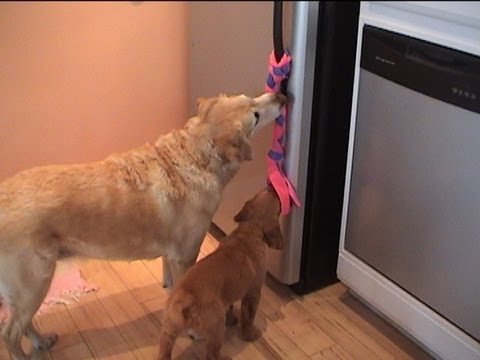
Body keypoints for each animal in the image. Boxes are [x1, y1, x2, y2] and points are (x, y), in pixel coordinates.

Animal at [158, 186, 284, 360]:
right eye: (277, 201)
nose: (273, 187)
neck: (248, 231)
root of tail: (185, 297)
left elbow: (230, 307)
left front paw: (232, 320)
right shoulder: (253, 294)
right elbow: (248, 318)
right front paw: (249, 334)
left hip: (168, 331)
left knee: (164, 351)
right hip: (216, 327)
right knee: (212, 353)